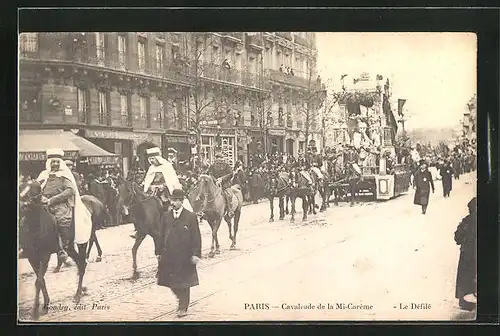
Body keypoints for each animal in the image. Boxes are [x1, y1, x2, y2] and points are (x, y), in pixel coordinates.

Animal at [19, 181, 91, 318]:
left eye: (38, 190)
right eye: (23, 188)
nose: (23, 205)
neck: (34, 228)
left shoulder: (45, 255)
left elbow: (38, 281)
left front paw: (35, 311)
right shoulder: (31, 257)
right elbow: (41, 280)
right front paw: (45, 304)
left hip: (82, 244)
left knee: (82, 264)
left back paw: (77, 295)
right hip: (70, 247)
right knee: (80, 263)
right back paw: (81, 290)